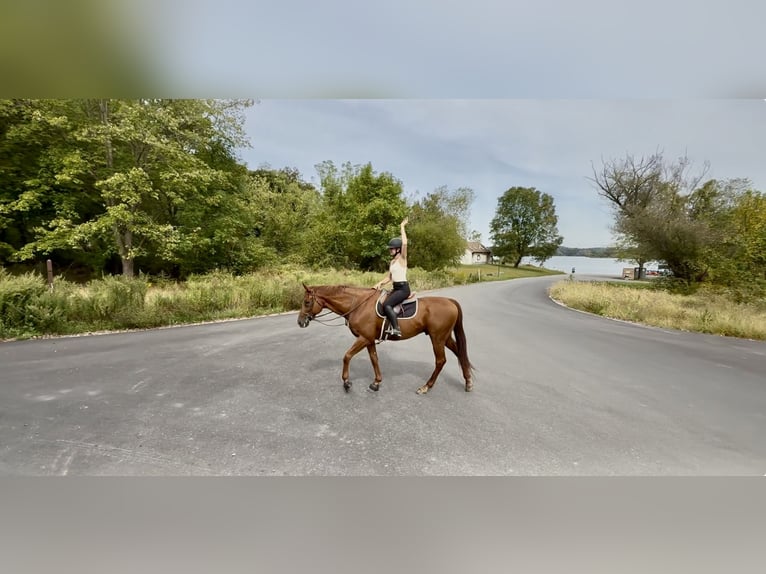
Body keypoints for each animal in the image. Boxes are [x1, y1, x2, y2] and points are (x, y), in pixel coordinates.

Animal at [297, 284, 474, 394]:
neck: (358, 304)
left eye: (307, 302)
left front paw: (346, 382)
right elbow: (374, 359)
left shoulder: (363, 338)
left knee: (440, 361)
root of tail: (450, 301)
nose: (300, 322)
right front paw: (376, 383)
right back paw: (468, 382)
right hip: (444, 337)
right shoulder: (369, 339)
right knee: (460, 353)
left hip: (437, 338)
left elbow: (347, 356)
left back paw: (426, 387)